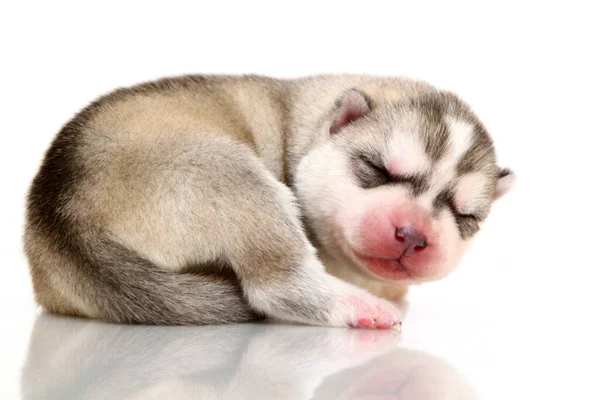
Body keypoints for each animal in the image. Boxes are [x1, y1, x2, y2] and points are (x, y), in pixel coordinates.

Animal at [24, 74, 516, 328]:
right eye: (378, 170)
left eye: (466, 215)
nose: (413, 236)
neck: (304, 124)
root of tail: (66, 217)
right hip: (228, 173)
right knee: (274, 286)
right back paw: (361, 308)